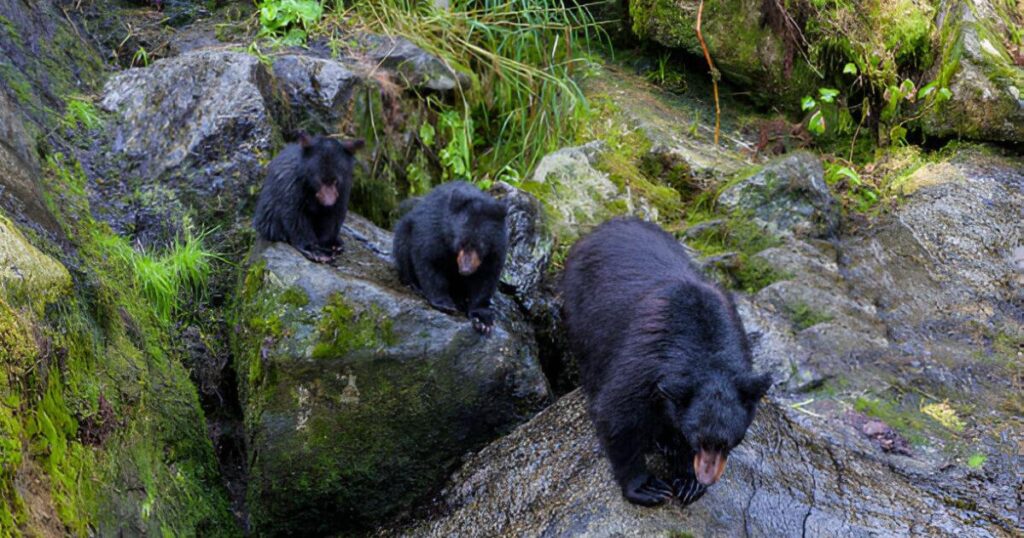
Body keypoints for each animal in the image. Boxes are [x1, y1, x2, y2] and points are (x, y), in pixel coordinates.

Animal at [251, 132, 364, 262]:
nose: (328, 202)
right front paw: (315, 250)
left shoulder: (343, 189)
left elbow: (334, 215)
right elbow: (295, 216)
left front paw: (330, 244)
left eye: (336, 180)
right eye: (320, 180)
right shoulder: (293, 185)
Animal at [389, 181, 505, 332]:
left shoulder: (496, 250)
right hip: (406, 230)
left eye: (480, 246)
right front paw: (444, 304)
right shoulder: (435, 231)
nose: (465, 270)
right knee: (403, 248)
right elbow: (430, 261)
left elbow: (486, 278)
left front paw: (482, 319)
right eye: (460, 243)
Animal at [565, 216, 770, 506]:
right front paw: (647, 486)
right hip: (581, 315)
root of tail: (600, 227)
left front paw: (688, 481)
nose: (707, 476)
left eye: (729, 441)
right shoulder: (644, 362)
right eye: (699, 439)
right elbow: (616, 414)